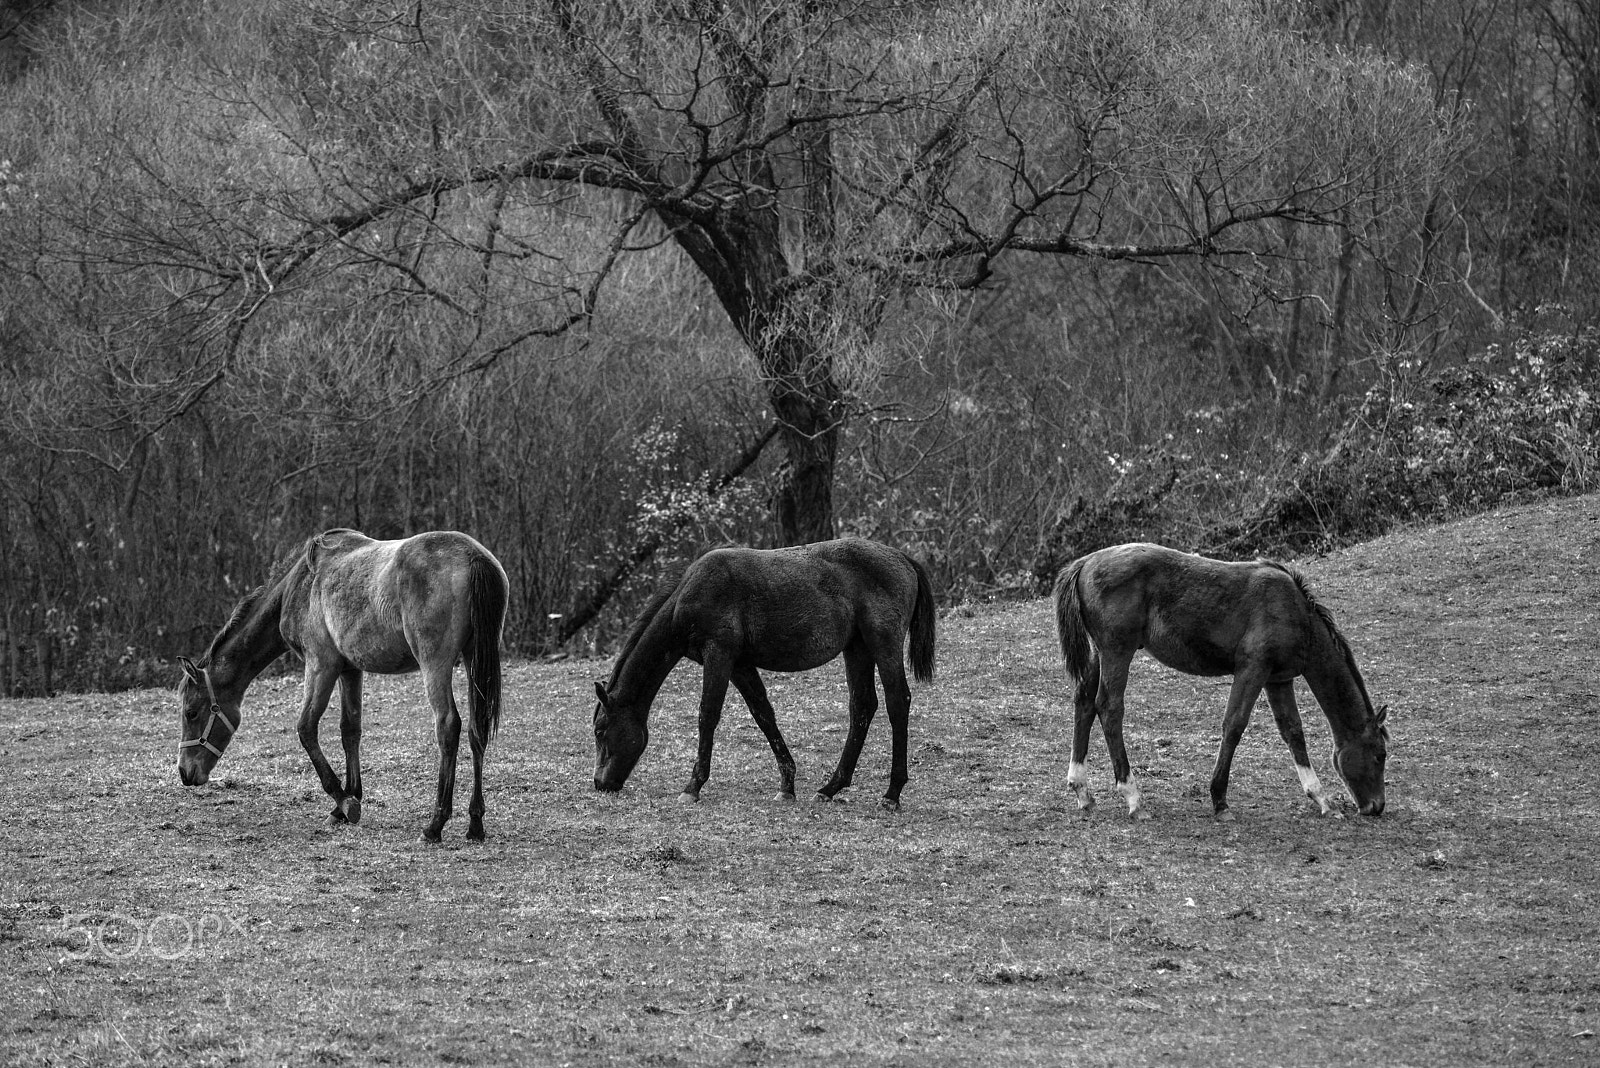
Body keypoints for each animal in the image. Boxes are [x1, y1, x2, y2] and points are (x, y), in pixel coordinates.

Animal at [175, 528, 508, 842]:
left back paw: (435, 824)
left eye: (191, 712)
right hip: (473, 659)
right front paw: (348, 800)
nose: (184, 772)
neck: (300, 586)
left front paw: (345, 802)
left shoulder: (321, 665)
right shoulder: (350, 670)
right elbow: (350, 730)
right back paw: (475, 823)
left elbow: (306, 728)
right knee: (476, 729)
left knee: (448, 726)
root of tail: (474, 557)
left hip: (435, 664)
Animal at [592, 537, 937, 810]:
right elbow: (763, 714)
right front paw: (787, 786)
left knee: (897, 702)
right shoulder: (740, 664)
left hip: (883, 644)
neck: (692, 593)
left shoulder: (719, 655)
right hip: (857, 648)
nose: (600, 783)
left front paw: (693, 787)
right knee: (862, 707)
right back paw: (831, 787)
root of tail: (902, 558)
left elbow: (708, 715)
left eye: (599, 731)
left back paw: (891, 793)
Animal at [1052, 542, 1387, 821]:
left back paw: (1083, 792)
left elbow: (1293, 732)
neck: (1296, 612)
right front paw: (1220, 801)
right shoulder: (1252, 669)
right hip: (1117, 651)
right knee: (1109, 708)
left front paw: (1322, 800)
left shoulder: (1278, 679)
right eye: (1380, 754)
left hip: (1100, 653)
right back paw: (1133, 798)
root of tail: (1084, 563)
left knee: (1084, 702)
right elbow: (1234, 725)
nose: (1376, 806)